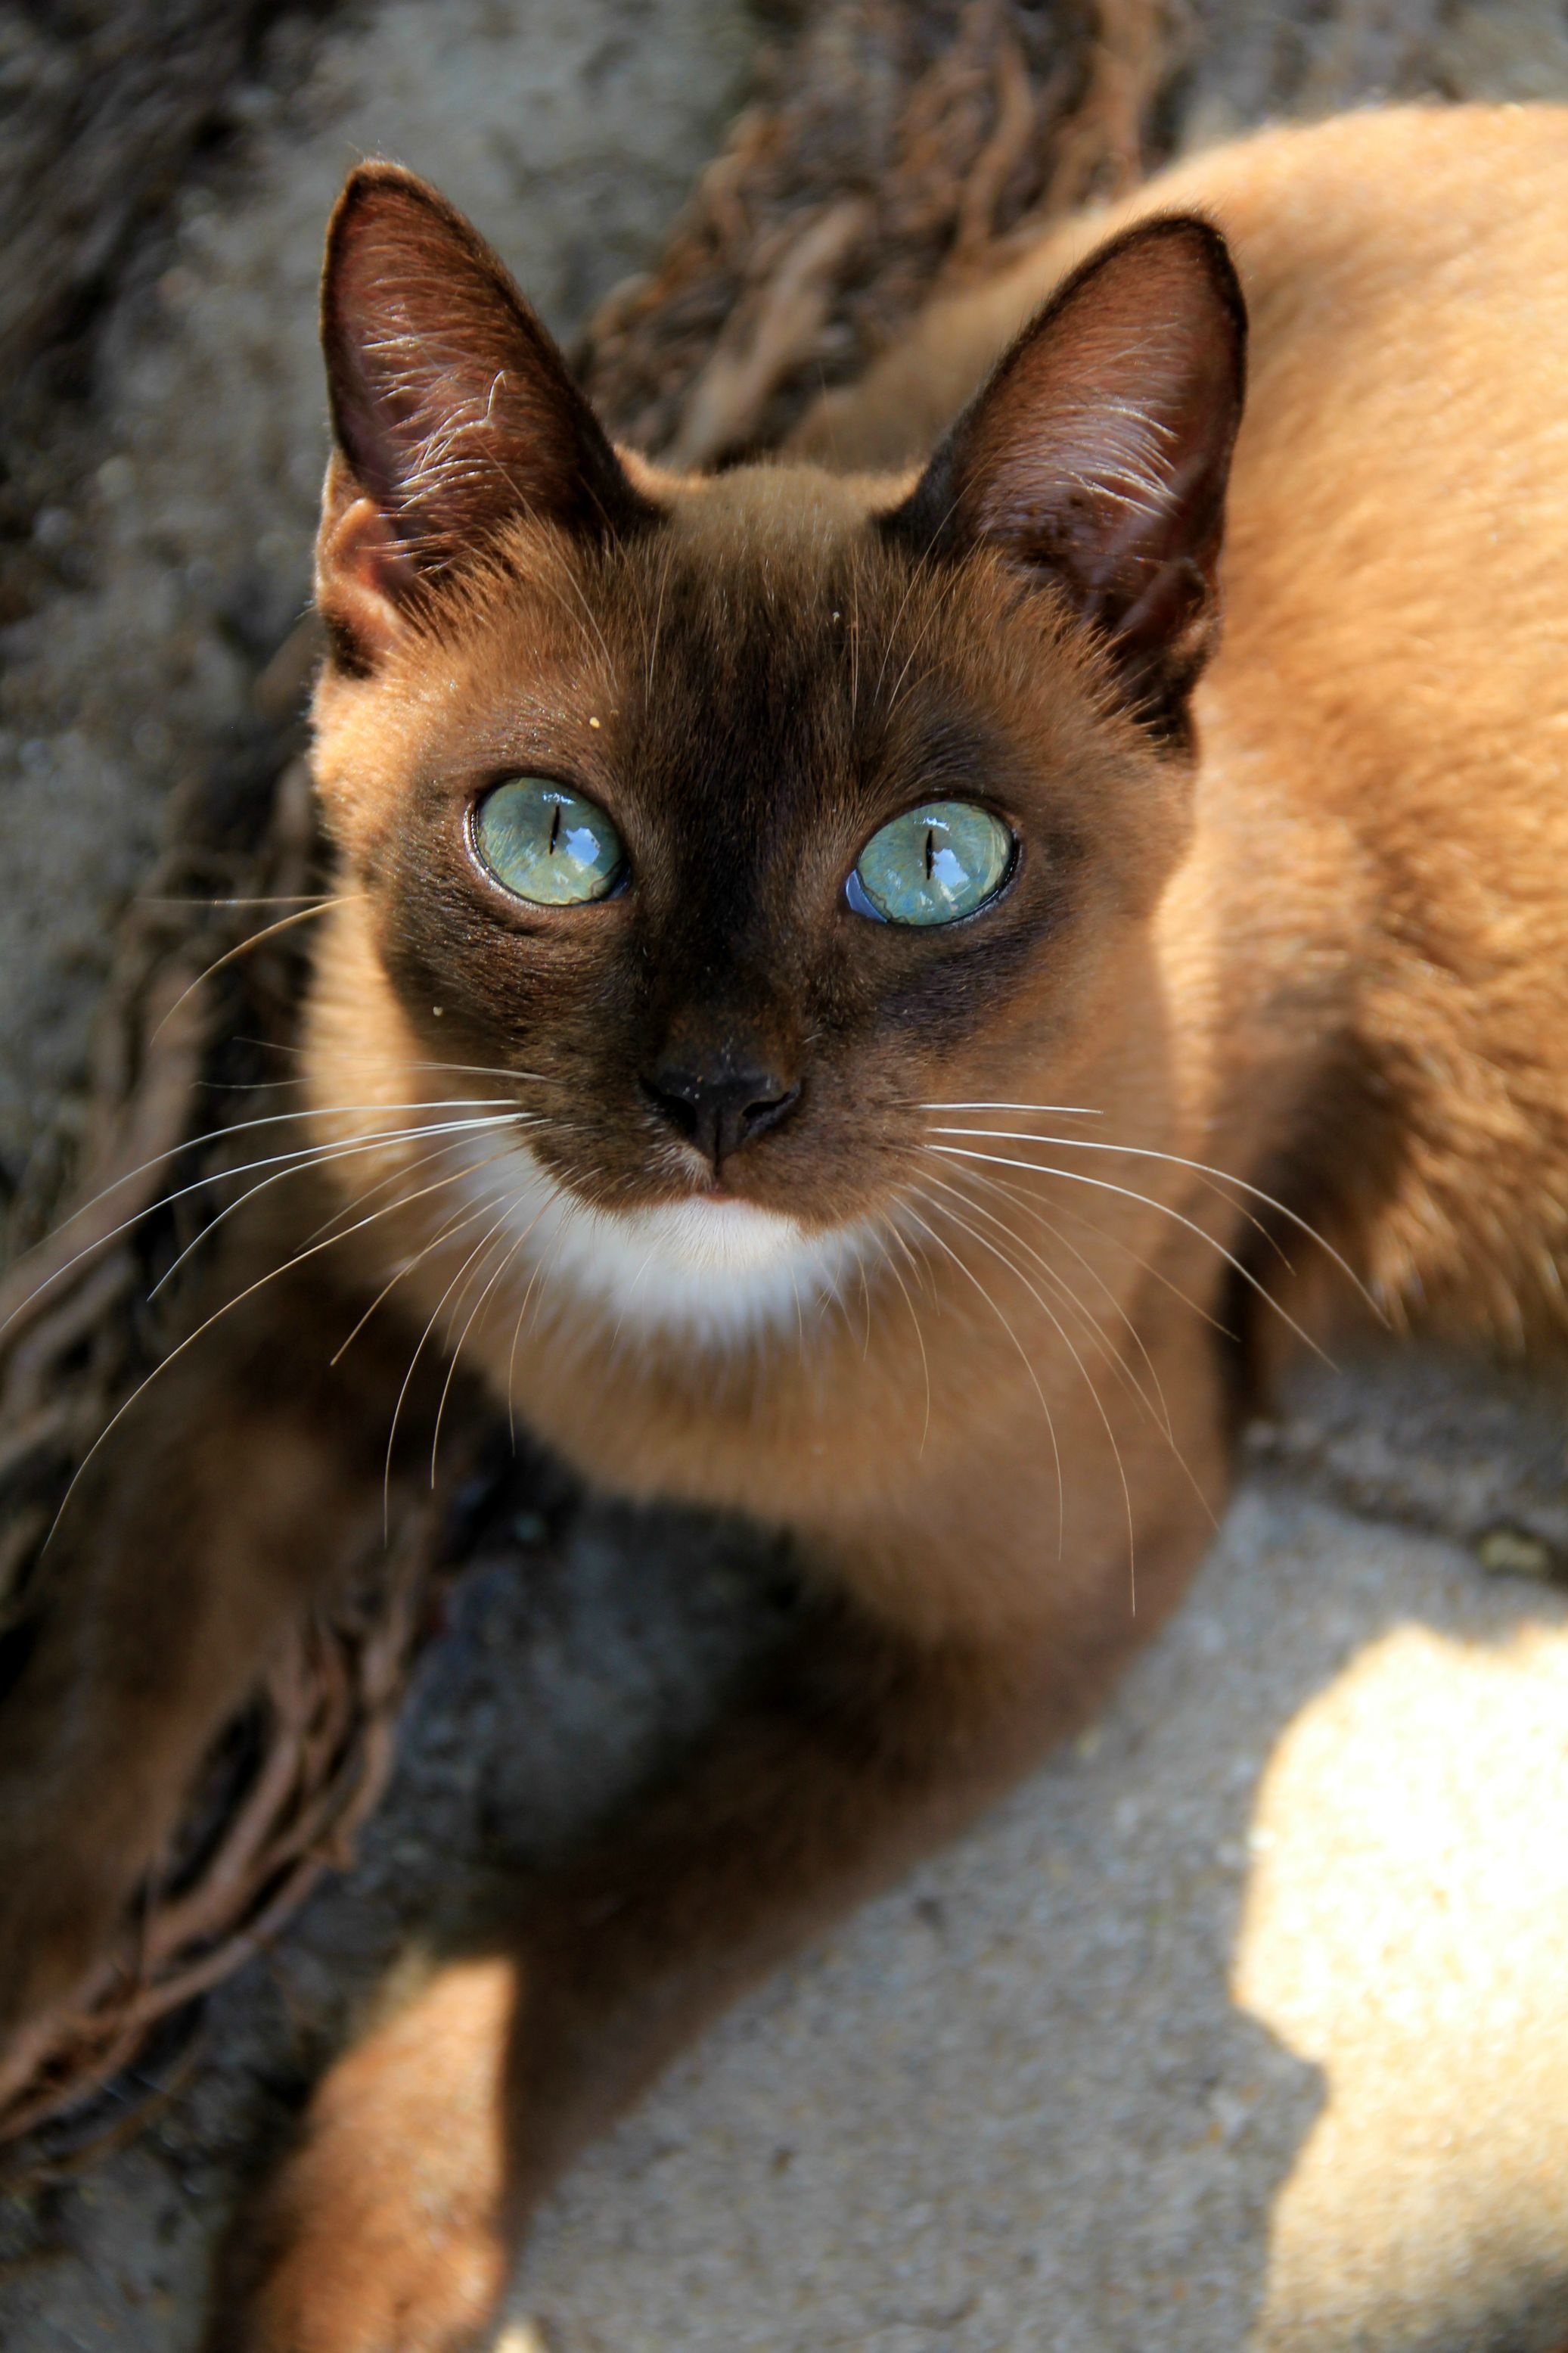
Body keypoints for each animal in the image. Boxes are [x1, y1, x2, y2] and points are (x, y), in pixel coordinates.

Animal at [3, 96, 1568, 2353]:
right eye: (550, 842)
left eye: (932, 864)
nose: (722, 1097)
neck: (662, 1346)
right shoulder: (290, 1300)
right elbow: (100, 1677)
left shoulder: (1021, 1620)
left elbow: (609, 1923)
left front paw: (342, 2253)